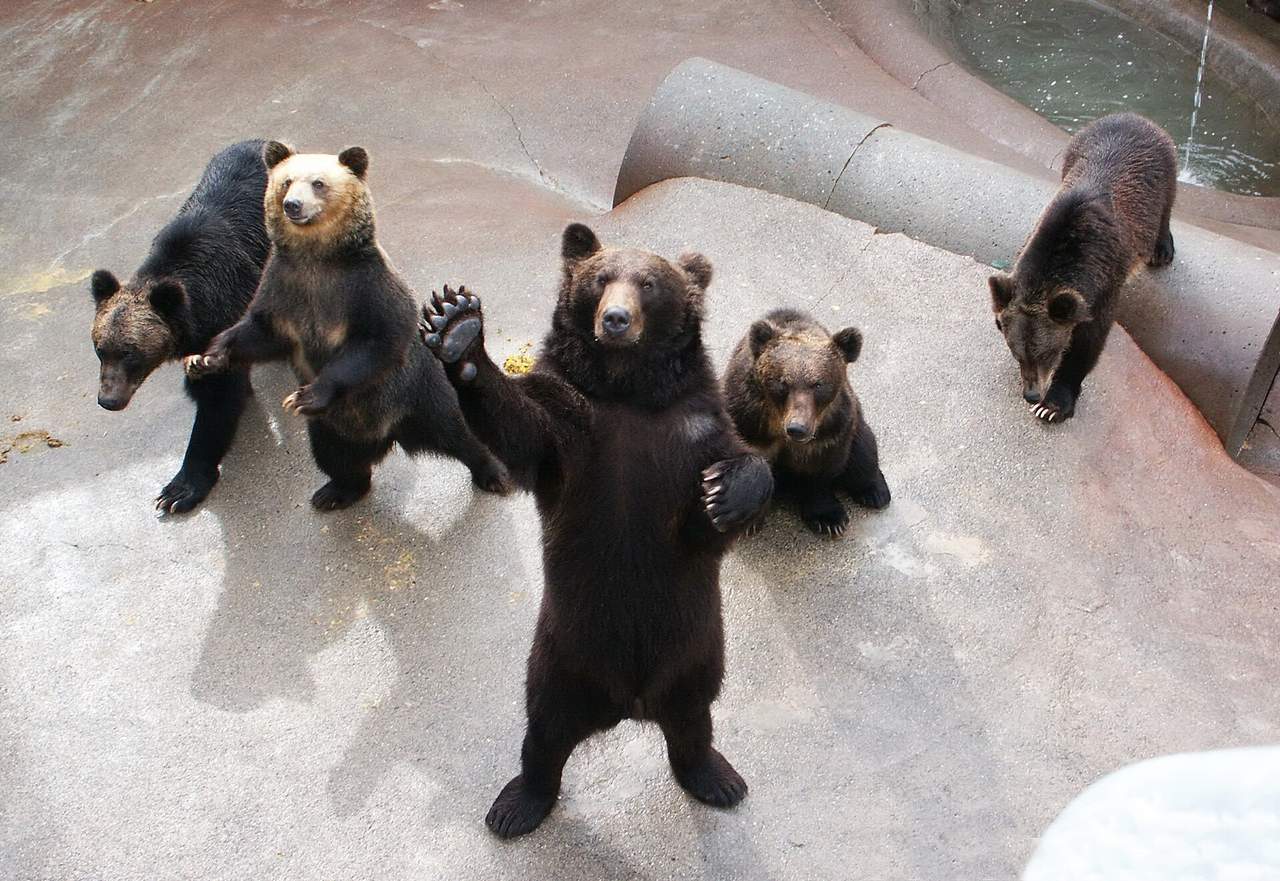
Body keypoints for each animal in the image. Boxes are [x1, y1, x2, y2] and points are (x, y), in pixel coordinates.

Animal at [90, 139, 270, 513]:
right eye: (100, 349)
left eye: (131, 353)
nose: (108, 400)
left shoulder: (224, 312)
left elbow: (218, 396)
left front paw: (180, 489)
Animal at [184, 142, 509, 509]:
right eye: (286, 181)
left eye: (318, 183)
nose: (292, 205)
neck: (317, 260)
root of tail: (388, 435)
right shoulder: (282, 288)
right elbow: (259, 333)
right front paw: (204, 359)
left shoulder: (366, 288)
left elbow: (376, 342)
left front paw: (305, 395)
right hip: (328, 427)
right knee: (336, 458)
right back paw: (335, 491)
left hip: (420, 396)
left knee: (458, 431)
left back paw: (493, 470)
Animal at [418, 223, 774, 838]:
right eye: (602, 278)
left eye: (649, 283)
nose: (616, 319)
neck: (627, 392)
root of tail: (631, 702)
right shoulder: (573, 429)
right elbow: (524, 428)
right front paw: (457, 325)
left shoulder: (693, 427)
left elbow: (732, 481)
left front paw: (726, 495)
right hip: (563, 651)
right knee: (545, 729)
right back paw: (517, 804)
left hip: (698, 647)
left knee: (695, 717)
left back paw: (717, 777)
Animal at [723, 308, 890, 537]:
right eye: (782, 383)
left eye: (818, 384)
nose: (797, 428)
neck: (776, 422)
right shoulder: (746, 419)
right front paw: (748, 521)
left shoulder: (831, 429)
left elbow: (821, 469)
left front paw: (829, 519)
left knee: (864, 452)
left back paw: (875, 492)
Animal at [988, 112, 1177, 424]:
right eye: (1017, 353)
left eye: (1046, 353)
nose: (1031, 394)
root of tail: (1130, 116)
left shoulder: (1103, 284)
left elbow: (1088, 343)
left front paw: (1052, 405)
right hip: (1072, 151)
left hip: (1163, 167)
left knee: (1167, 204)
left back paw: (1161, 248)